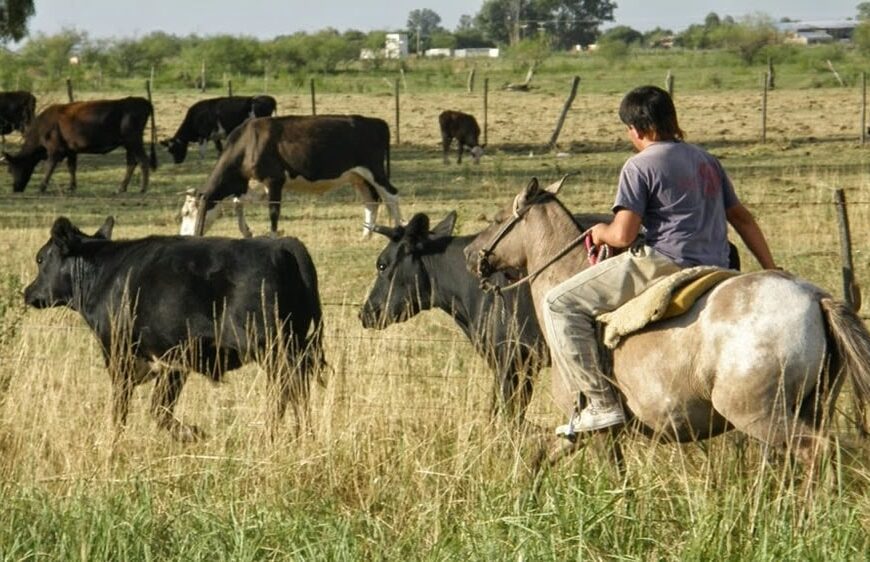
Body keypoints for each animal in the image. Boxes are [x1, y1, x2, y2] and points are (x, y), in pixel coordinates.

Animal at [0, 96, 157, 192]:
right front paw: (71, 186)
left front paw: (42, 187)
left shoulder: (55, 149)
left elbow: (49, 167)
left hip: (134, 140)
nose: (15, 189)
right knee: (131, 163)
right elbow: (71, 167)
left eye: (11, 169)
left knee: (143, 161)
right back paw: (122, 188)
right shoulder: (71, 150)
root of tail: (142, 101)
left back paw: (143, 188)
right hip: (129, 144)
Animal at [27, 214, 328, 438]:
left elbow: (125, 409)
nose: (28, 292)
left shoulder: (121, 354)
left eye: (41, 258)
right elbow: (160, 408)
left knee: (286, 389)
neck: (105, 274)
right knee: (294, 392)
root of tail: (283, 244)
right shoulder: (173, 363)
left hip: (272, 348)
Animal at [182, 114, 408, 236]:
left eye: (185, 213)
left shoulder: (274, 180)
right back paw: (366, 235)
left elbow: (274, 211)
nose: (184, 236)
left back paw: (398, 230)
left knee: (391, 195)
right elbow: (238, 204)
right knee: (371, 201)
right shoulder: (253, 185)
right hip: (357, 177)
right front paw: (247, 231)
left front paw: (273, 234)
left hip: (374, 171)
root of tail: (376, 122)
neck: (249, 144)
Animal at [466, 176, 870, 476]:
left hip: (759, 413)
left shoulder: (598, 431)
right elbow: (538, 461)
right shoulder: (575, 432)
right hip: (809, 406)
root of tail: (815, 297)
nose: (471, 254)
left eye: (498, 219)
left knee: (815, 451)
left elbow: (617, 479)